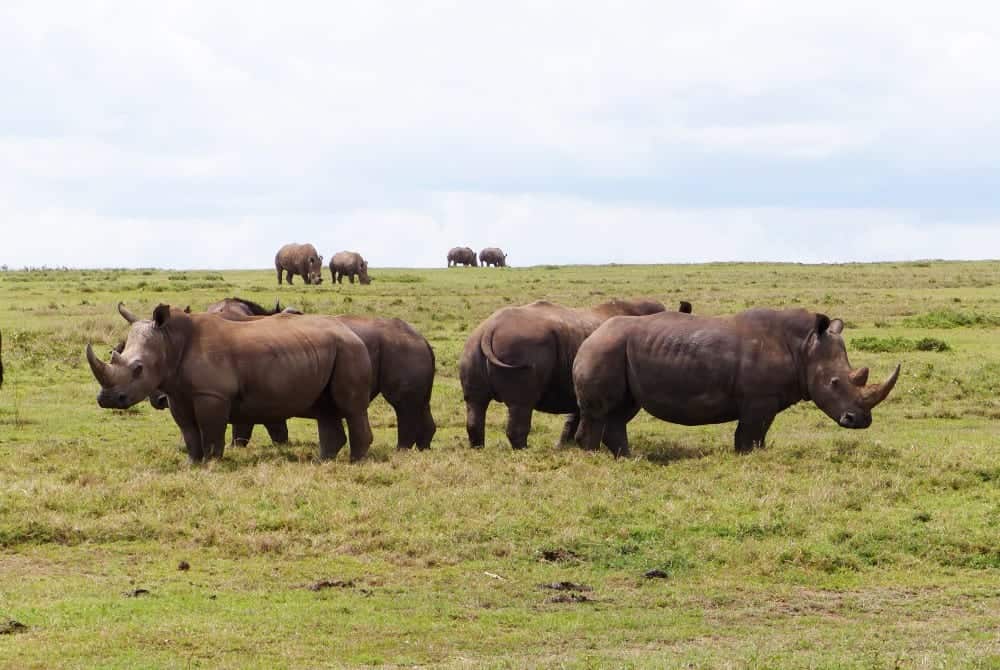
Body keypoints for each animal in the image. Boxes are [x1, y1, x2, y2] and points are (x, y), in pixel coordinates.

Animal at [458, 300, 676, 452]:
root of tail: (489, 329)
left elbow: (574, 416)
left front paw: (564, 446)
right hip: (521, 346)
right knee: (521, 404)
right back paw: (524, 451)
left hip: (472, 345)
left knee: (476, 402)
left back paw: (478, 449)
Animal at [572, 308, 908, 456]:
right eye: (835, 383)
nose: (859, 421)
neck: (804, 348)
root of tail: (590, 335)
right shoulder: (759, 400)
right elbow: (749, 434)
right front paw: (747, 457)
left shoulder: (765, 401)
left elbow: (759, 434)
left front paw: (757, 454)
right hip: (604, 349)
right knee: (602, 411)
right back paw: (593, 457)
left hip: (616, 350)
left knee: (621, 411)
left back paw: (628, 458)